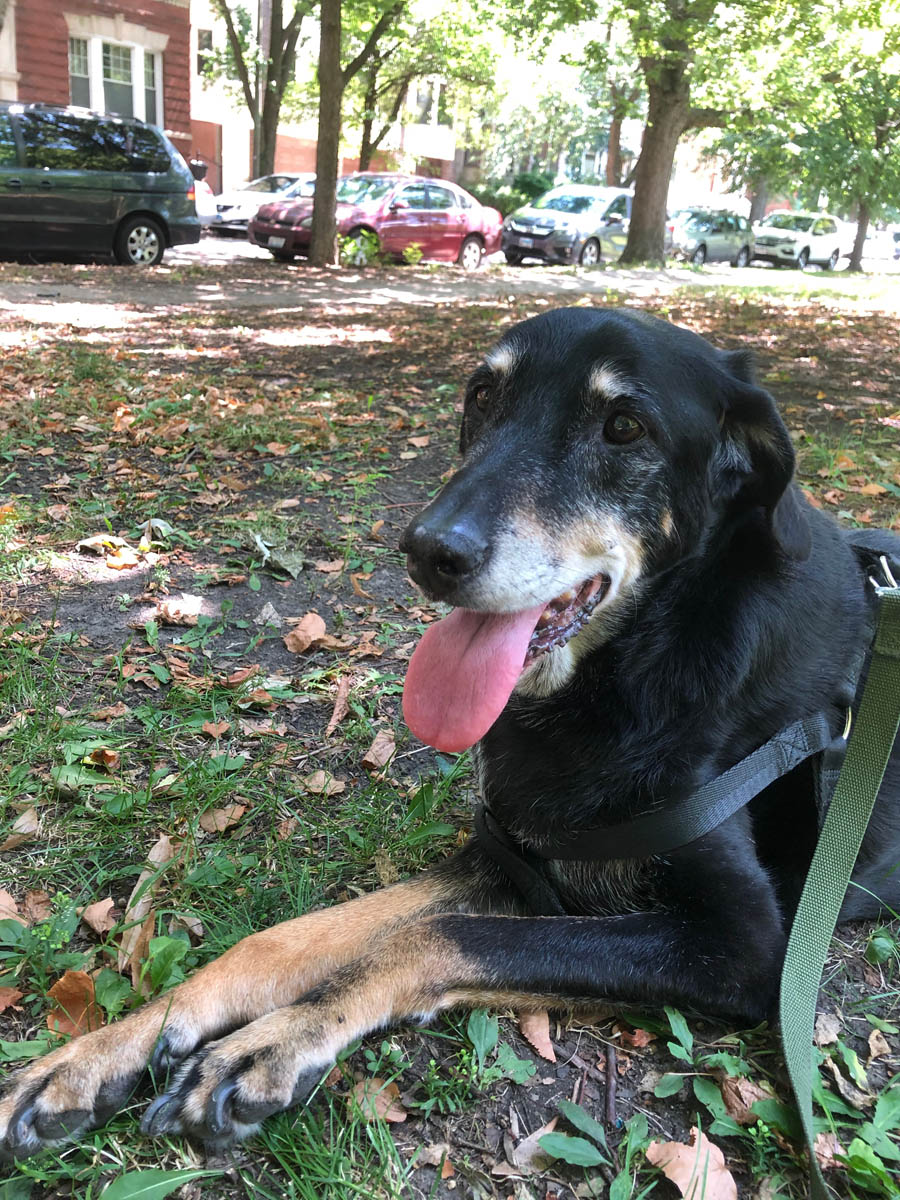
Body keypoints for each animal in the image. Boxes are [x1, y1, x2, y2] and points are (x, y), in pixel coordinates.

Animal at [1, 304, 900, 1156]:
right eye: (481, 395)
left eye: (623, 427)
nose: (428, 551)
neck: (626, 673)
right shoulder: (503, 856)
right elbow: (283, 942)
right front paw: (106, 1050)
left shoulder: (742, 943)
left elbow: (432, 936)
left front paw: (272, 1044)